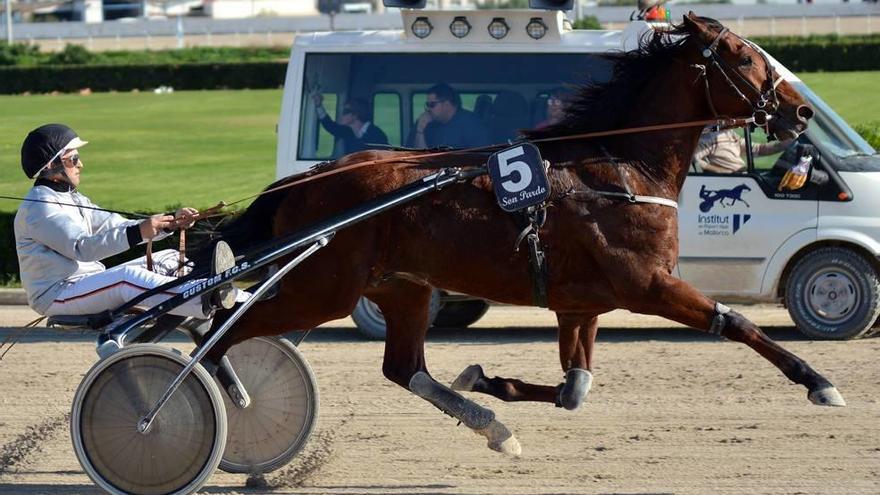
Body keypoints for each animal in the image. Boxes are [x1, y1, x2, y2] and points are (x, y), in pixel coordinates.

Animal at [199, 14, 832, 458]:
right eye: (745, 57)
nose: (801, 112)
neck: (621, 168)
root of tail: (307, 178)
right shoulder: (647, 285)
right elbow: (737, 322)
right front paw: (819, 382)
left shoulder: (580, 303)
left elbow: (575, 389)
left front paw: (487, 379)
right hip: (323, 288)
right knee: (221, 328)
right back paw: (218, 389)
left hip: (401, 286)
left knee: (403, 368)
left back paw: (494, 428)